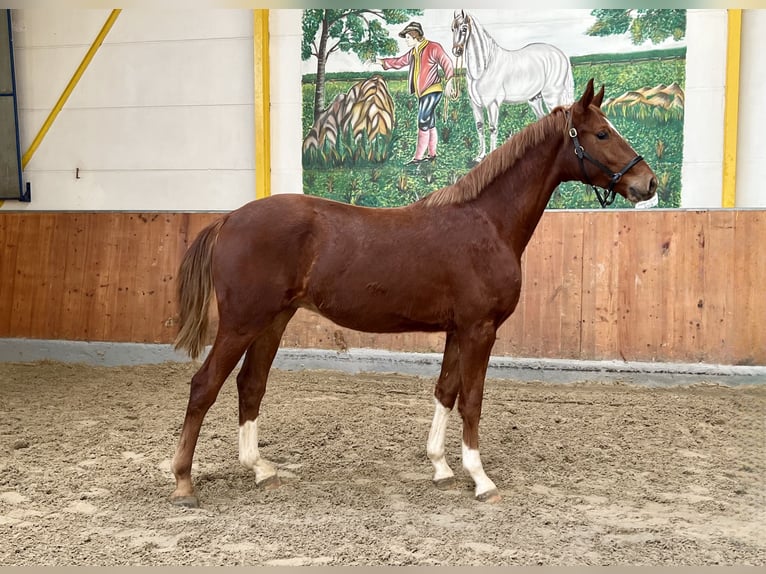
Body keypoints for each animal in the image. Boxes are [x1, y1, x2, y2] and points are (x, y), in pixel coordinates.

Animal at [171, 81, 656, 508]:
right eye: (602, 133)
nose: (648, 183)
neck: (487, 222)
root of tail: (229, 219)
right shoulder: (480, 330)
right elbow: (472, 400)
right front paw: (480, 478)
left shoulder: (459, 330)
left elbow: (446, 391)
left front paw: (441, 467)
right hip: (242, 323)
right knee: (204, 386)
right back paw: (183, 482)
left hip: (273, 321)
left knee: (250, 385)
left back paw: (260, 469)